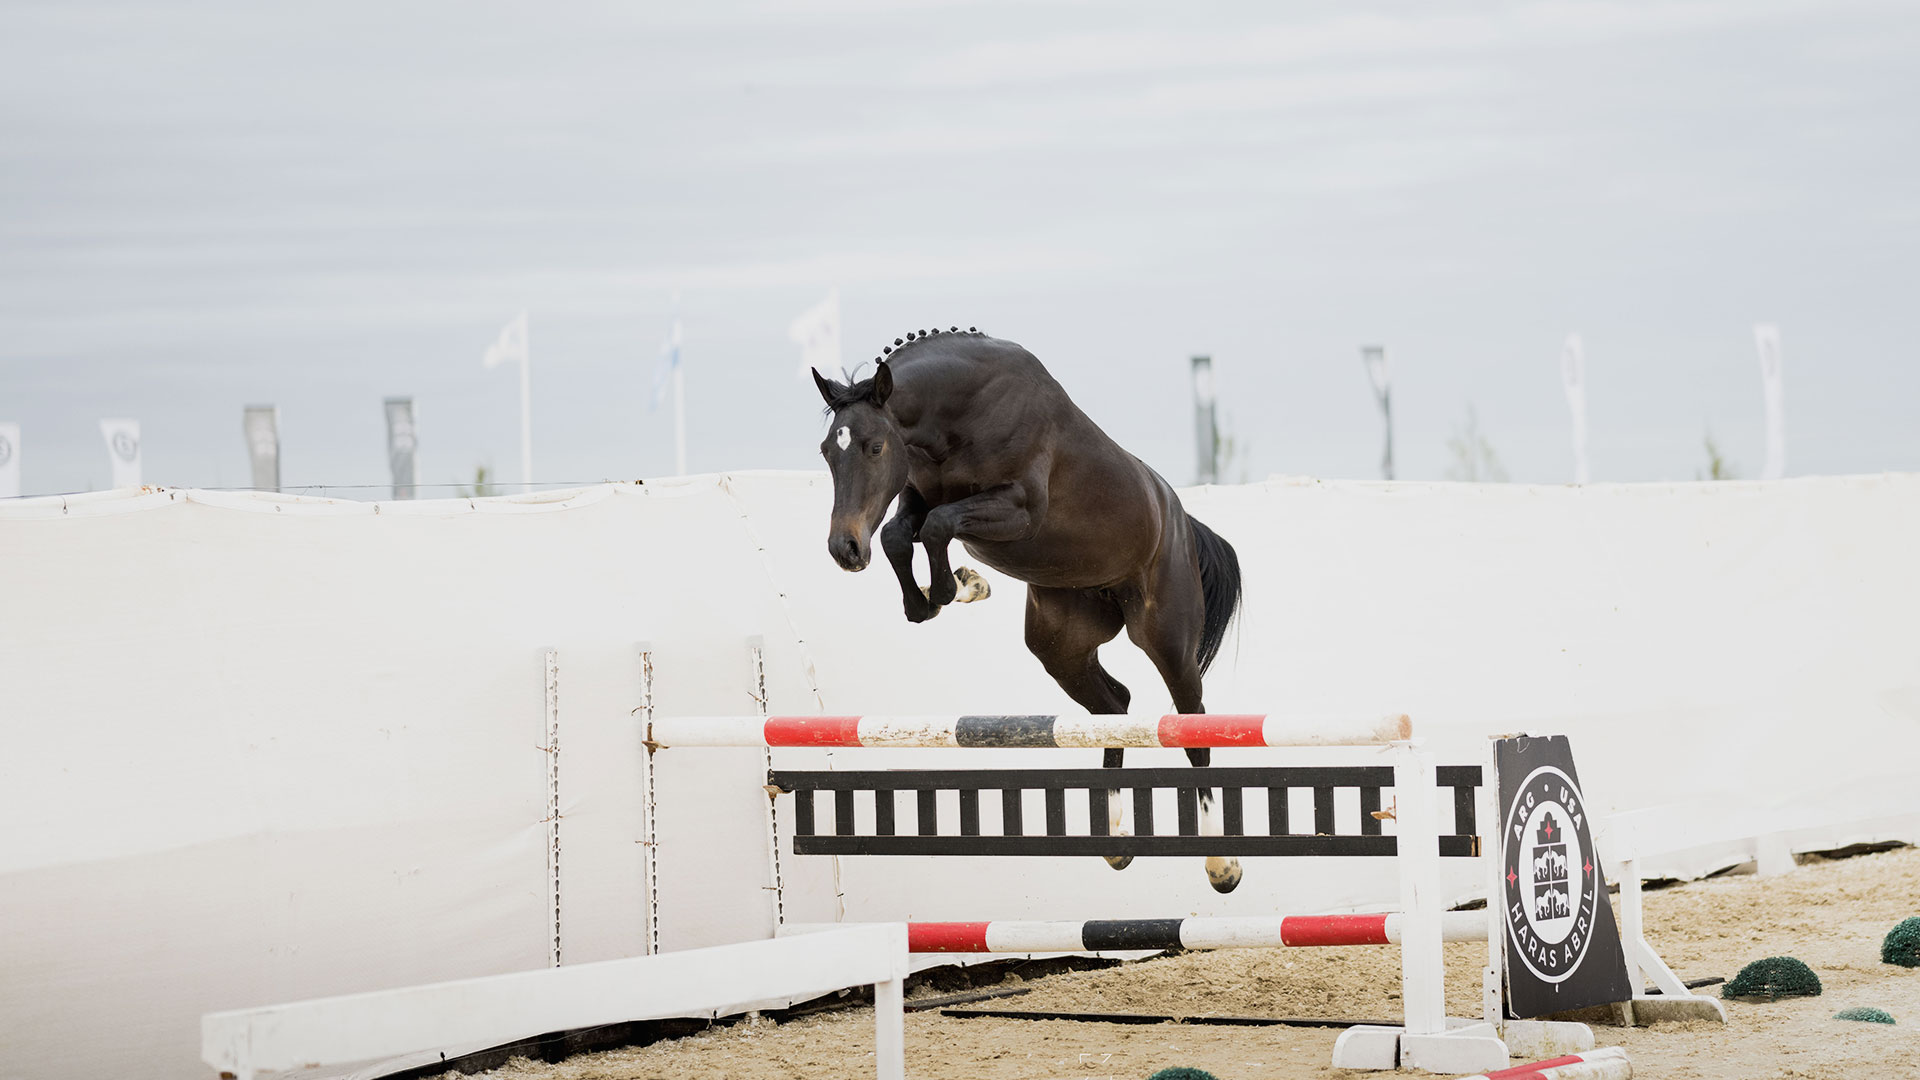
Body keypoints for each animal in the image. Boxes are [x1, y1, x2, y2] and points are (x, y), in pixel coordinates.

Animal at [811, 327, 1246, 893]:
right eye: (827, 450)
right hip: (1060, 645)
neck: (960, 414)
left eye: (875, 446)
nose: (844, 549)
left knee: (1192, 725)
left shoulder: (1016, 509)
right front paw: (955, 589)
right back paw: (1116, 843)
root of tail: (1180, 519)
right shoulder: (916, 499)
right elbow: (899, 535)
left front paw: (952, 587)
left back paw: (1222, 865)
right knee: (1114, 707)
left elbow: (936, 527)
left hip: (1166, 636)